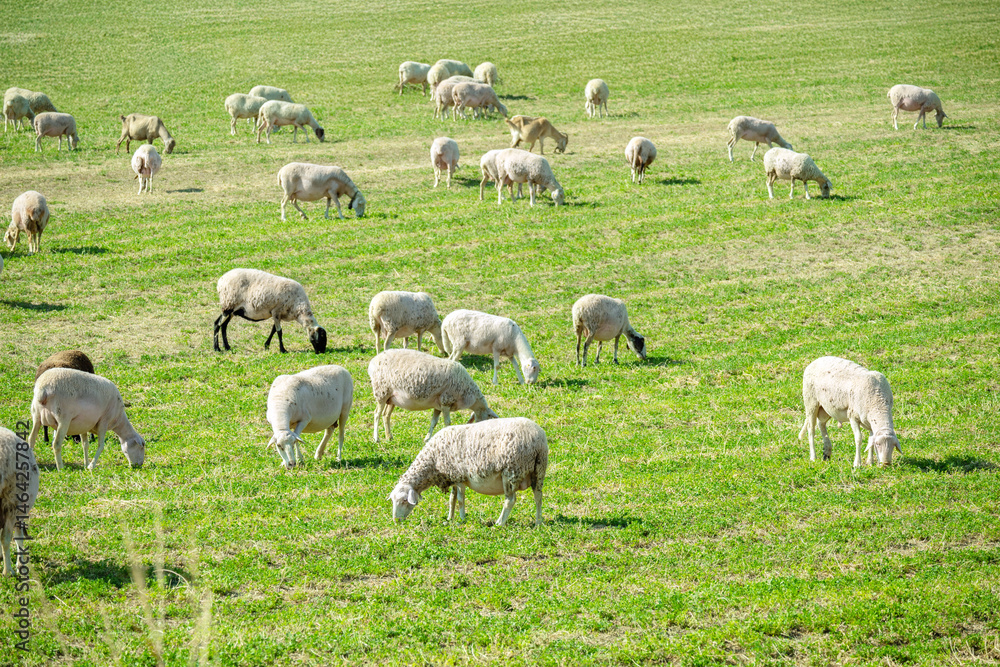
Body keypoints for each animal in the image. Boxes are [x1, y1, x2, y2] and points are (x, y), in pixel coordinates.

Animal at [369, 348, 499, 443]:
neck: (468, 393)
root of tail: (373, 361)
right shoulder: (446, 401)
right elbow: (447, 423)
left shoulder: (438, 405)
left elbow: (433, 422)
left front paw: (427, 439)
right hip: (381, 392)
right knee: (377, 414)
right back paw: (376, 438)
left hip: (392, 398)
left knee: (386, 415)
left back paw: (389, 437)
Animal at [388, 417, 547, 526]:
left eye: (404, 501)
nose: (396, 521)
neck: (432, 462)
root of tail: (538, 440)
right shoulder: (451, 476)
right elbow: (451, 499)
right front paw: (449, 518)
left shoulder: (459, 476)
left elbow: (460, 499)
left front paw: (462, 519)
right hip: (538, 471)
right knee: (538, 497)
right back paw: (538, 522)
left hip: (511, 472)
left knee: (510, 500)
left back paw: (499, 523)